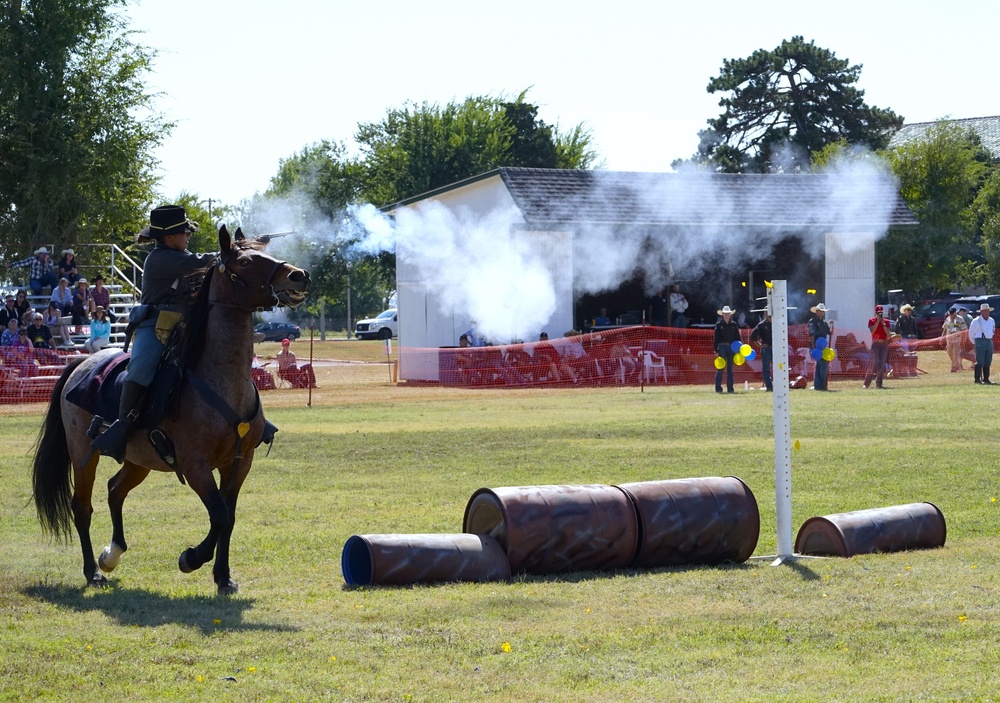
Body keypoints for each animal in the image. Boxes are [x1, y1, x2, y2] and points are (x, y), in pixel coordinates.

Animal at [31, 226, 308, 592]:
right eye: (246, 261)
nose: (299, 275)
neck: (222, 382)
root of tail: (82, 362)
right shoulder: (195, 466)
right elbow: (219, 515)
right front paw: (190, 558)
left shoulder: (239, 463)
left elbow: (229, 517)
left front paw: (223, 577)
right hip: (83, 456)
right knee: (82, 507)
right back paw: (93, 571)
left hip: (138, 461)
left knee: (115, 490)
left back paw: (112, 554)